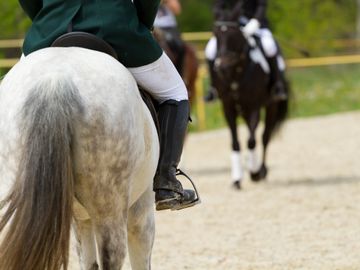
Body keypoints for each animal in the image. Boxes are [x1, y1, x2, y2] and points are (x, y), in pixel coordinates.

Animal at [0, 47, 159, 268]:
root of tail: (54, 81)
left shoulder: (81, 219)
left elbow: (87, 259)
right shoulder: (141, 209)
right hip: (109, 206)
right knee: (112, 255)